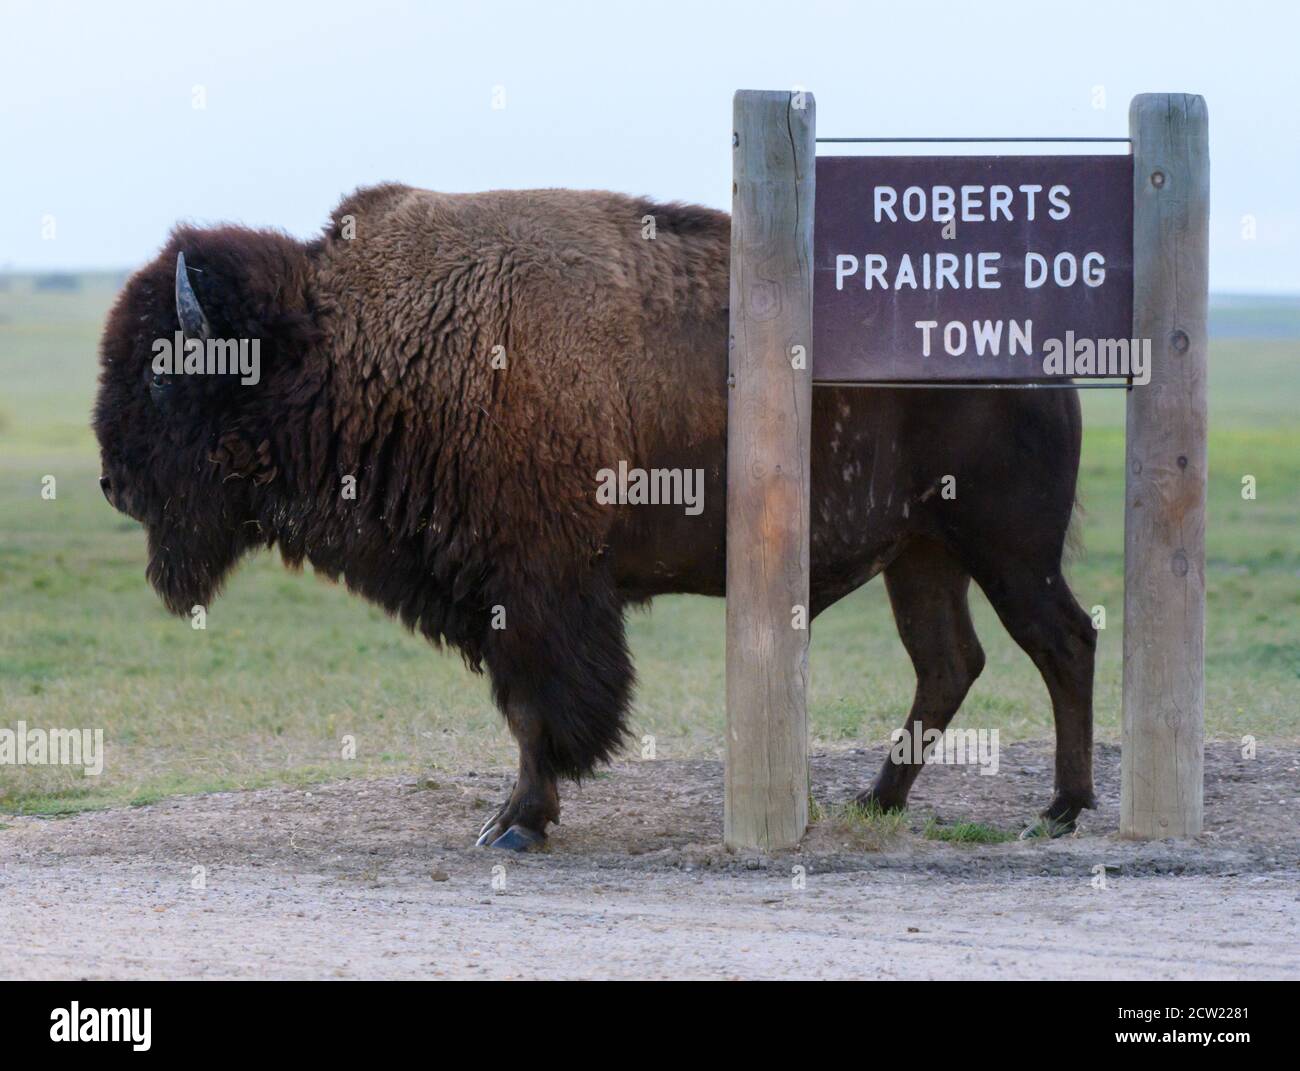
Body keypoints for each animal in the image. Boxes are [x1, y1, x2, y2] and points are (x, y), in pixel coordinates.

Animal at [91, 185, 1092, 852]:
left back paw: (1062, 810)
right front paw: (514, 818)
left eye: (163, 372)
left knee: (1062, 642)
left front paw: (516, 824)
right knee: (950, 663)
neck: (358, 339)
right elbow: (529, 708)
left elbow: (540, 710)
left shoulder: (539, 595)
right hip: (923, 554)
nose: (111, 481)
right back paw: (878, 803)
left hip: (1007, 547)